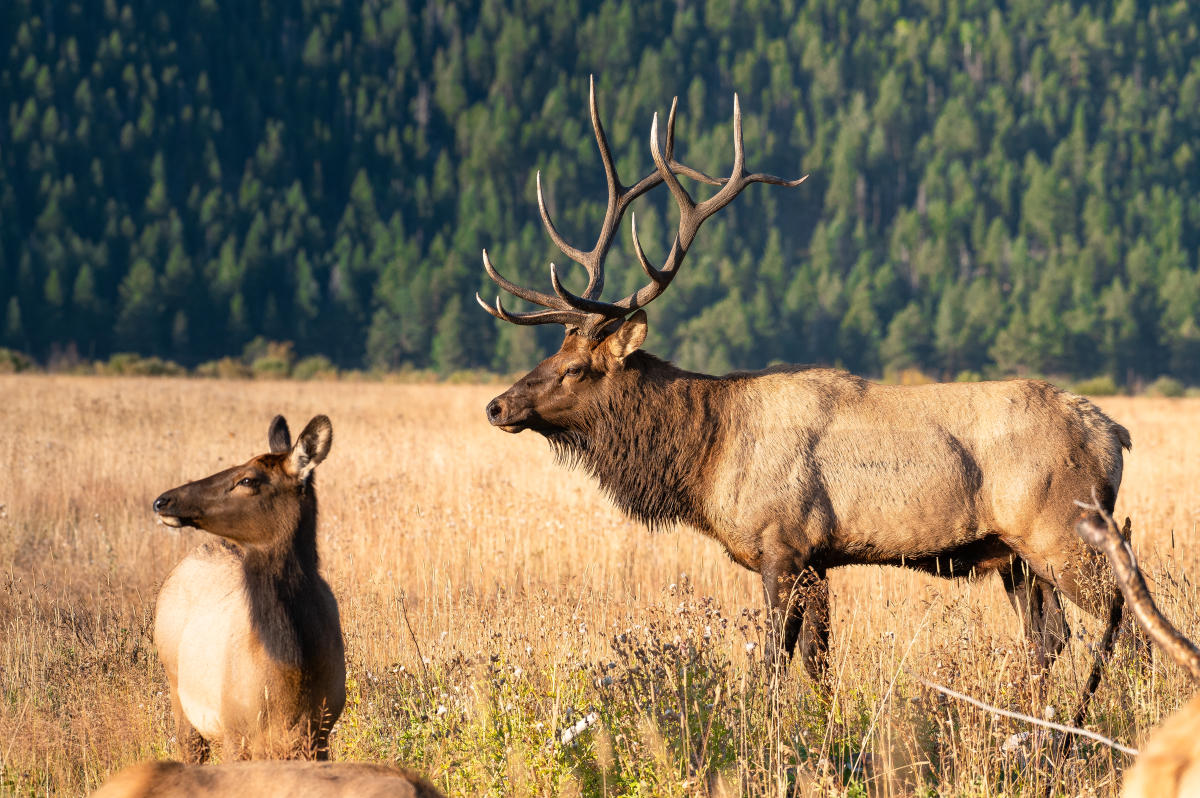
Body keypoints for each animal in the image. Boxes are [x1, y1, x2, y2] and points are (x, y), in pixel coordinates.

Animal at [477, 79, 1132, 718]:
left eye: (574, 368)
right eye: (552, 354)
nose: (497, 406)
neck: (706, 457)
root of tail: (1115, 435)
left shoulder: (783, 547)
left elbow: (772, 662)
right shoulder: (818, 560)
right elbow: (819, 665)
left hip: (1066, 533)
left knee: (1123, 620)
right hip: (1018, 556)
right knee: (1050, 638)